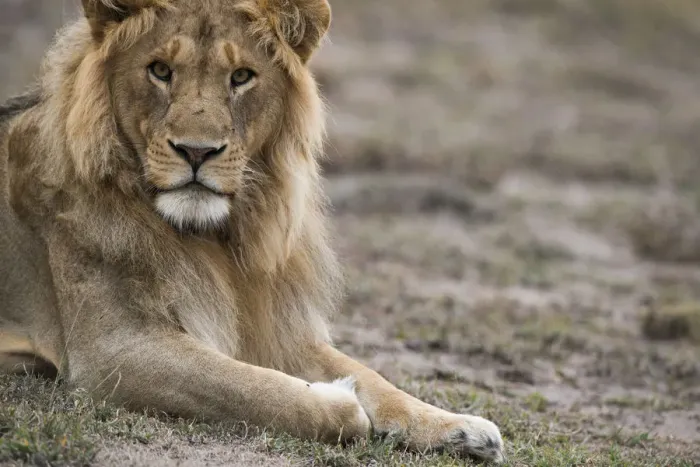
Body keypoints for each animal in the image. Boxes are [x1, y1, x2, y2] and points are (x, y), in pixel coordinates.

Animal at [0, 0, 504, 462]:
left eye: (241, 77)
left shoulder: (274, 324)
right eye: (160, 70)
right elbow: (259, 390)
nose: (196, 152)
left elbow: (372, 376)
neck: (219, 235)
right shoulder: (114, 351)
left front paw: (459, 427)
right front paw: (339, 399)